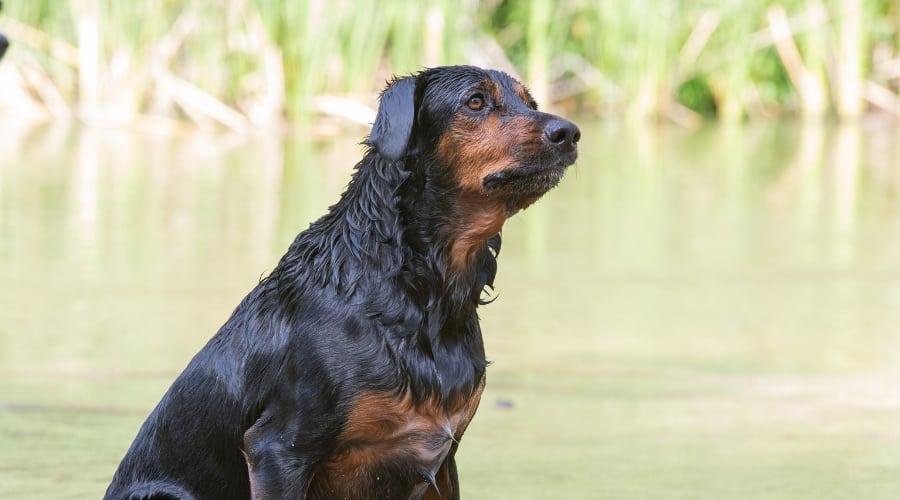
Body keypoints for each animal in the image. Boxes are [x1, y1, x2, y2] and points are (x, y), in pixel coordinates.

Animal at [105, 66, 580, 500]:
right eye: (476, 102)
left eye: (530, 102)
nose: (569, 133)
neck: (420, 293)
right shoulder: (278, 450)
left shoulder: (444, 461)